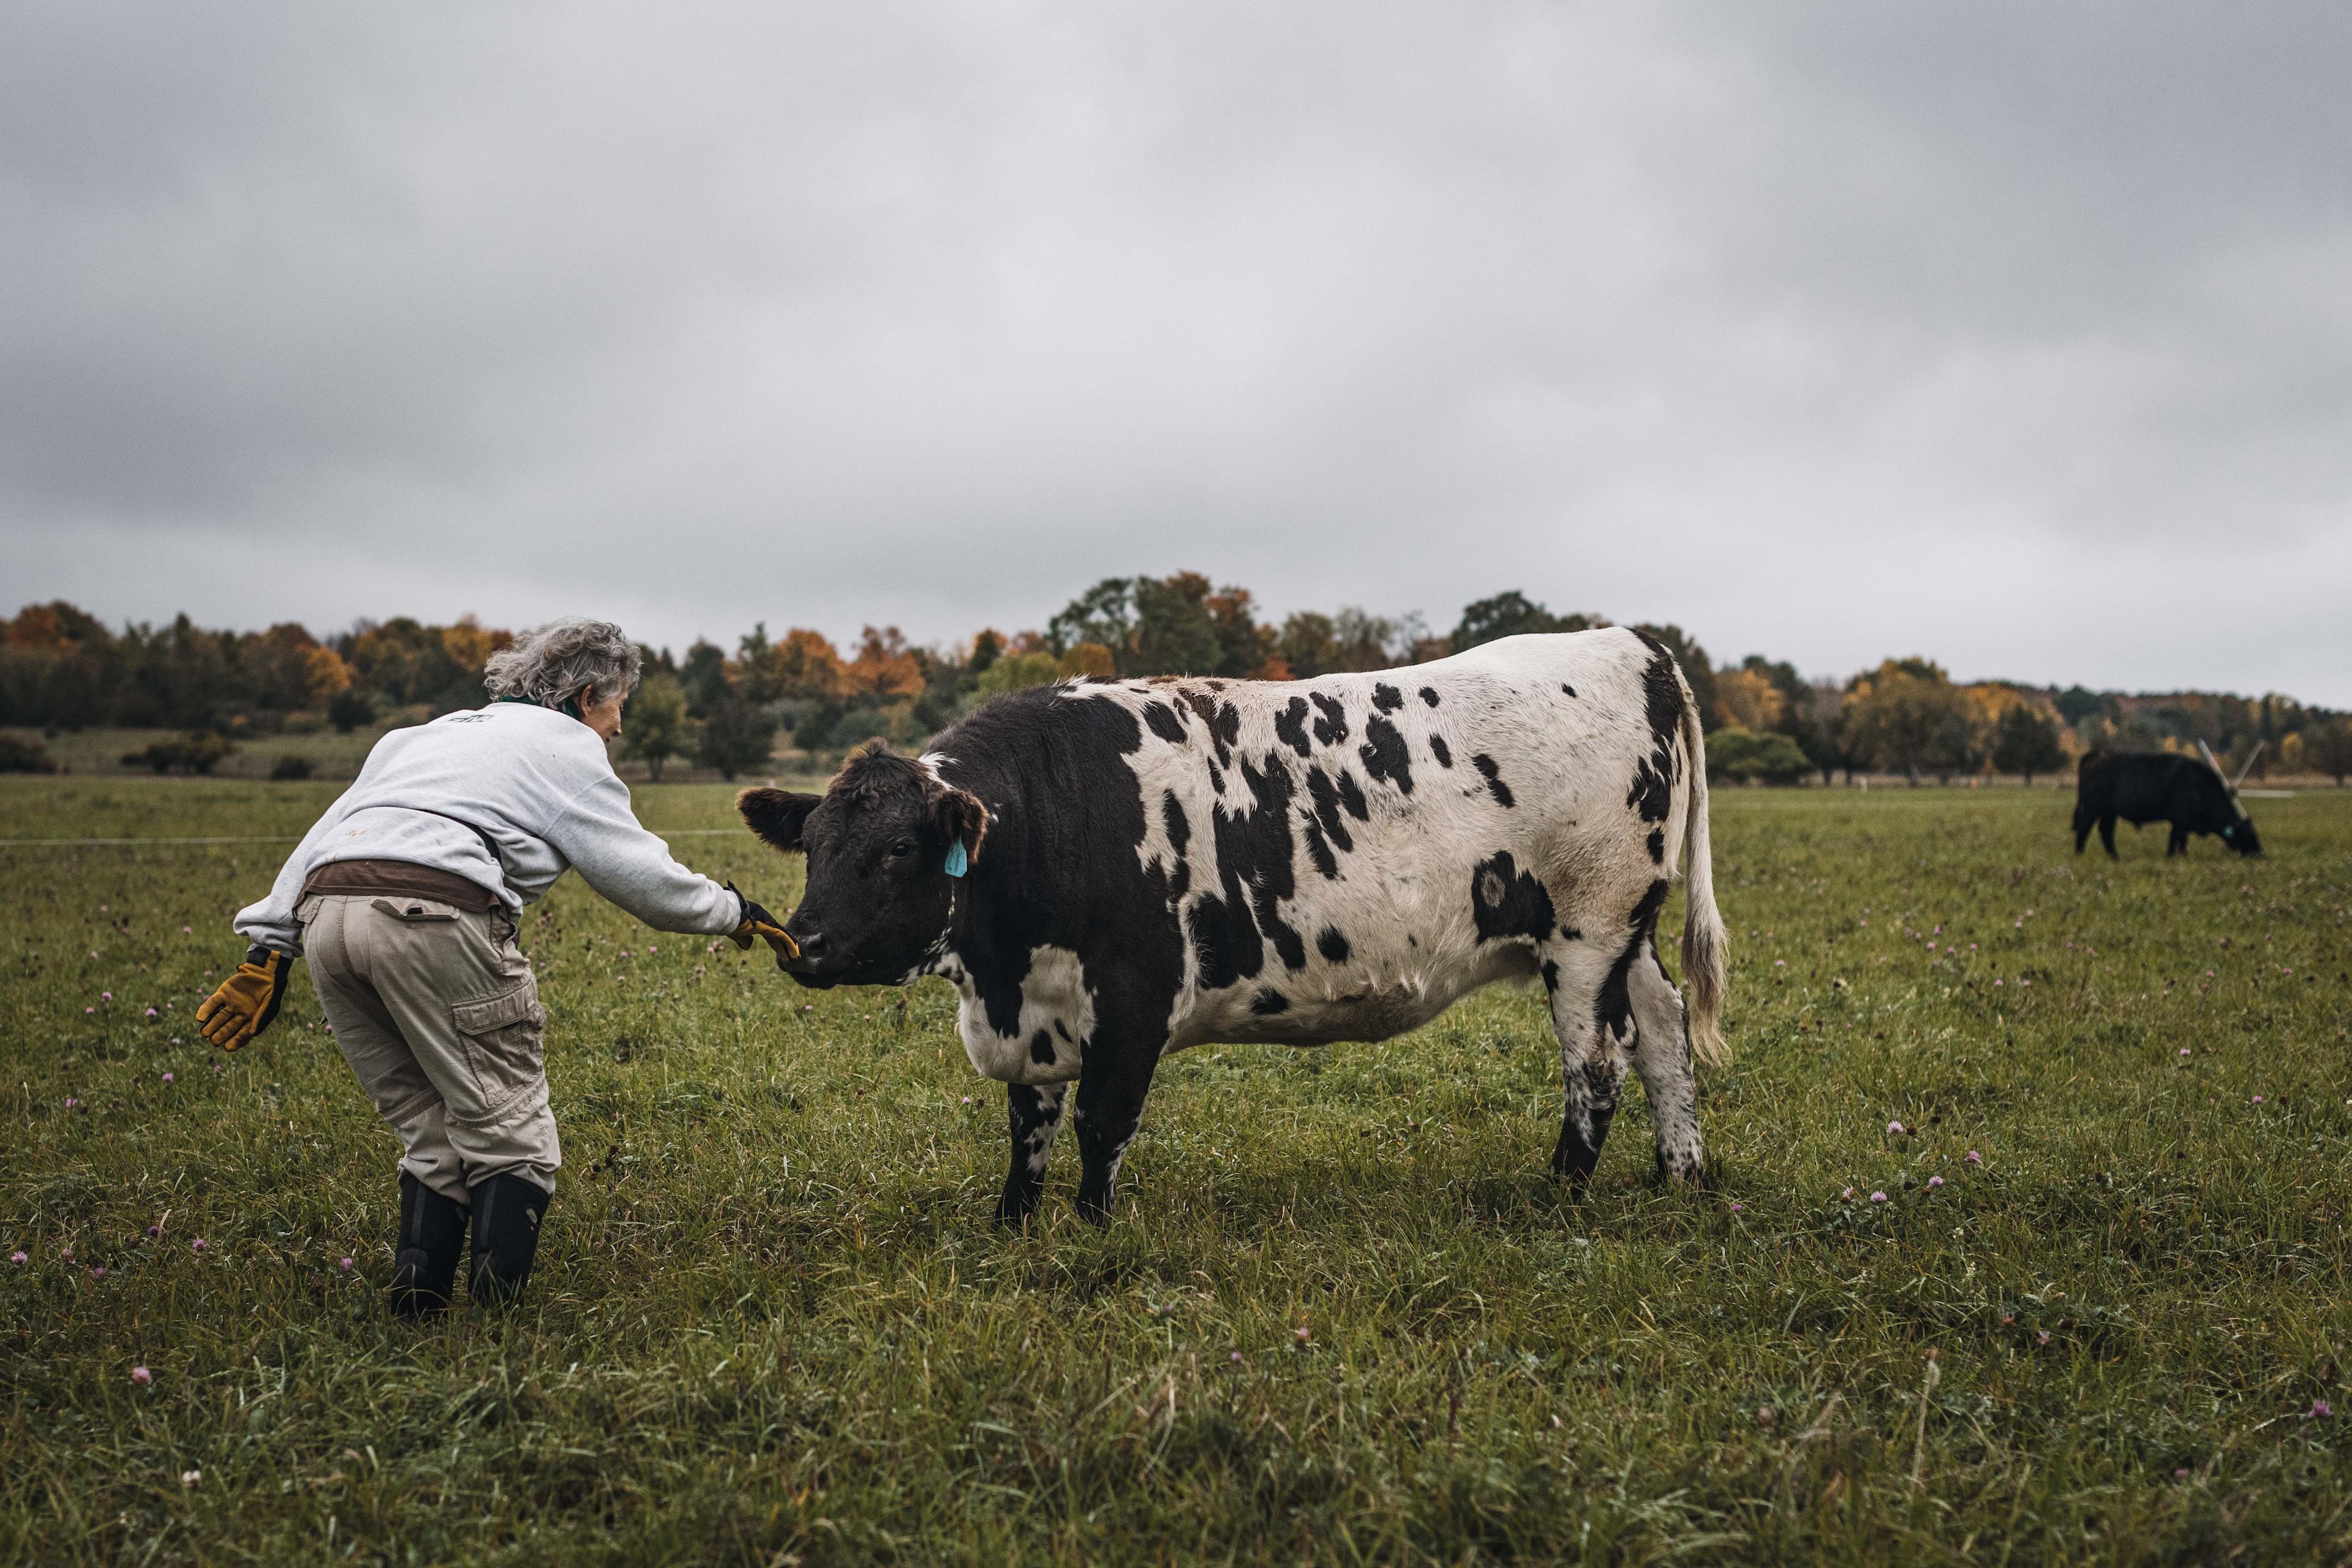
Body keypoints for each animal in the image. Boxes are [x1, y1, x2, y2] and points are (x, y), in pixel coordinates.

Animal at [738, 627, 1729, 1224]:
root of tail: (1628, 641)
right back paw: (1679, 1171)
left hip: (1587, 932)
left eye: (900, 849)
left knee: (1596, 1065)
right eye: (814, 844)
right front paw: (1012, 1227)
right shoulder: (1037, 1012)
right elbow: (1030, 1125)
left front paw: (1091, 1233)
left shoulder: (1134, 997)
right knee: (1663, 1031)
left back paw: (1560, 1194)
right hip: (1625, 934)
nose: (805, 943)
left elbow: (1100, 1122)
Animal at [2072, 749, 2262, 858]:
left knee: (2105, 831)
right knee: (2084, 828)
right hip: (2093, 808)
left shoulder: (2179, 822)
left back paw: (2115, 857)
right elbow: (2179, 840)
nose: (2260, 855)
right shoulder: (2181, 820)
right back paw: (2080, 855)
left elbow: (2175, 840)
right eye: (2248, 836)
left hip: (2109, 812)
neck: (2199, 785)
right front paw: (2178, 857)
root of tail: (2099, 755)